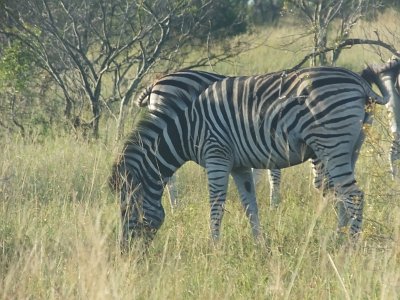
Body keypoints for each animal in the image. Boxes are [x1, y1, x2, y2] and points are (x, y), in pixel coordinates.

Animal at [109, 65, 388, 246]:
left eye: (127, 210)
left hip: (331, 143)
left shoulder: (217, 155)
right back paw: (339, 239)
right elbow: (250, 206)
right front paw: (259, 245)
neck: (188, 127)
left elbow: (216, 205)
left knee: (352, 195)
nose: (124, 253)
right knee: (342, 193)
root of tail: (358, 81)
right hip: (350, 147)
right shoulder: (238, 166)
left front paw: (214, 248)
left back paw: (350, 245)